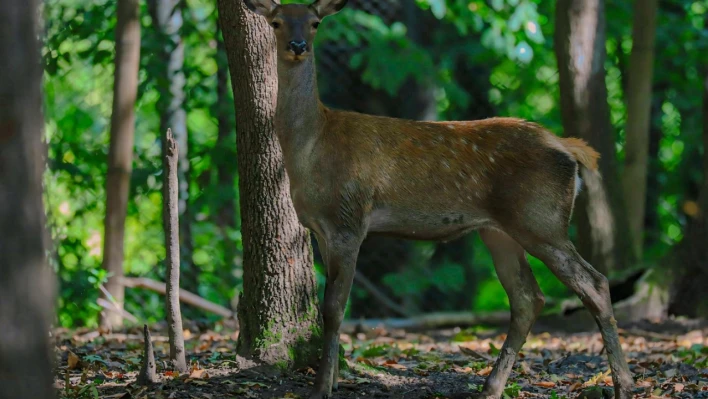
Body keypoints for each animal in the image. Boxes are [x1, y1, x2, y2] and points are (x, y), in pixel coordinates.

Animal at [241, 0, 632, 399]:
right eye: (277, 22)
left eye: (315, 22)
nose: (298, 45)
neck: (311, 148)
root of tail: (569, 149)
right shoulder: (320, 228)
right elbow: (330, 304)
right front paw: (333, 377)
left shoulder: (349, 219)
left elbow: (334, 309)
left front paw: (322, 387)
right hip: (500, 231)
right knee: (528, 298)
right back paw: (491, 386)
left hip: (541, 219)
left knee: (594, 284)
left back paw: (624, 383)